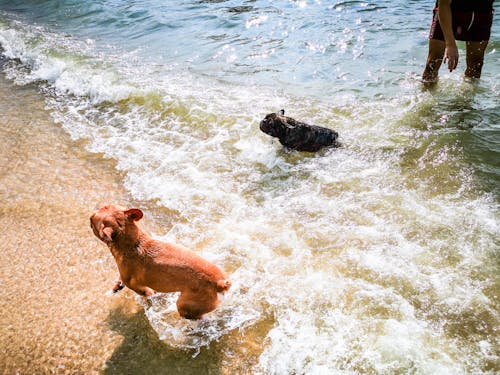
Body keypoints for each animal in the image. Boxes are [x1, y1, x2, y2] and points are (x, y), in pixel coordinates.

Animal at [90, 206, 230, 320]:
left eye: (92, 221)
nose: (90, 214)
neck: (133, 242)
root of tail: (219, 283)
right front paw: (117, 286)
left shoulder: (137, 286)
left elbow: (145, 292)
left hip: (185, 305)